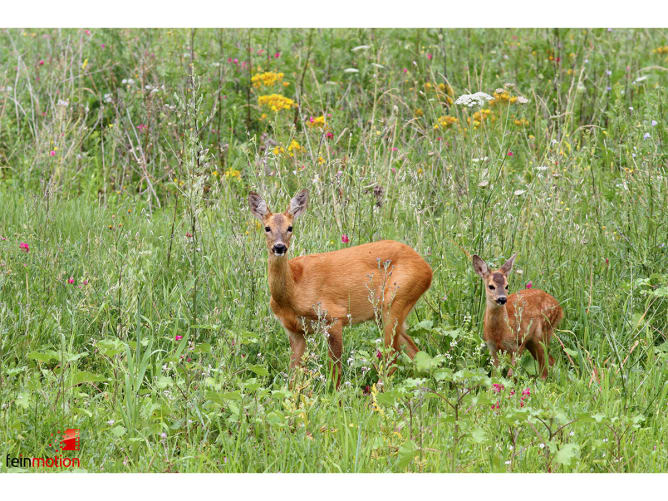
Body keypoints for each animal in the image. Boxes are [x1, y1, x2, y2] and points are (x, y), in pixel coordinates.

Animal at [247, 188, 434, 386]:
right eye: (267, 228)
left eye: (290, 227)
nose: (279, 247)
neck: (293, 291)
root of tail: (427, 269)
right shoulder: (295, 332)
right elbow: (293, 377)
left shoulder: (334, 317)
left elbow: (335, 370)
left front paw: (334, 394)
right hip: (384, 313)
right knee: (415, 353)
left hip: (396, 301)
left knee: (391, 359)